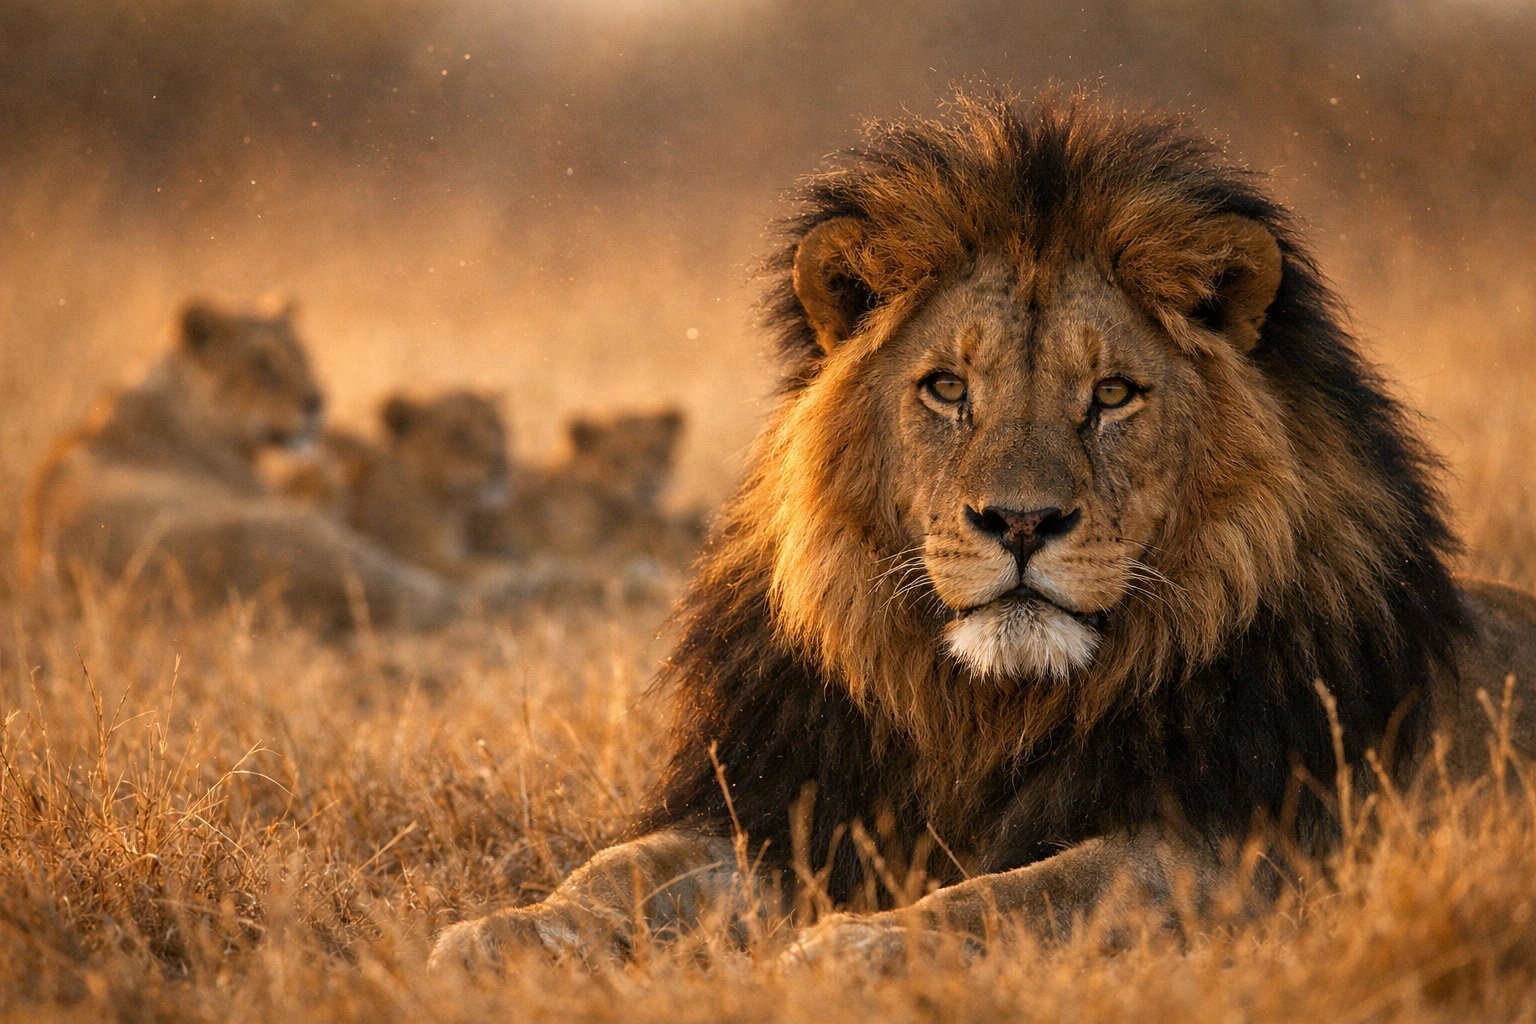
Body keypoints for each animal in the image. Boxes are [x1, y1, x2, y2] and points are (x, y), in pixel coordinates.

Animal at [429, 90, 1536, 969]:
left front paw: (860, 944)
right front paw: (506, 932)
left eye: (1114, 394)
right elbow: (624, 868)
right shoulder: (781, 804)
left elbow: (1022, 894)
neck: (984, 710)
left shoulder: (1225, 850)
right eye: (948, 389)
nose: (1021, 522)